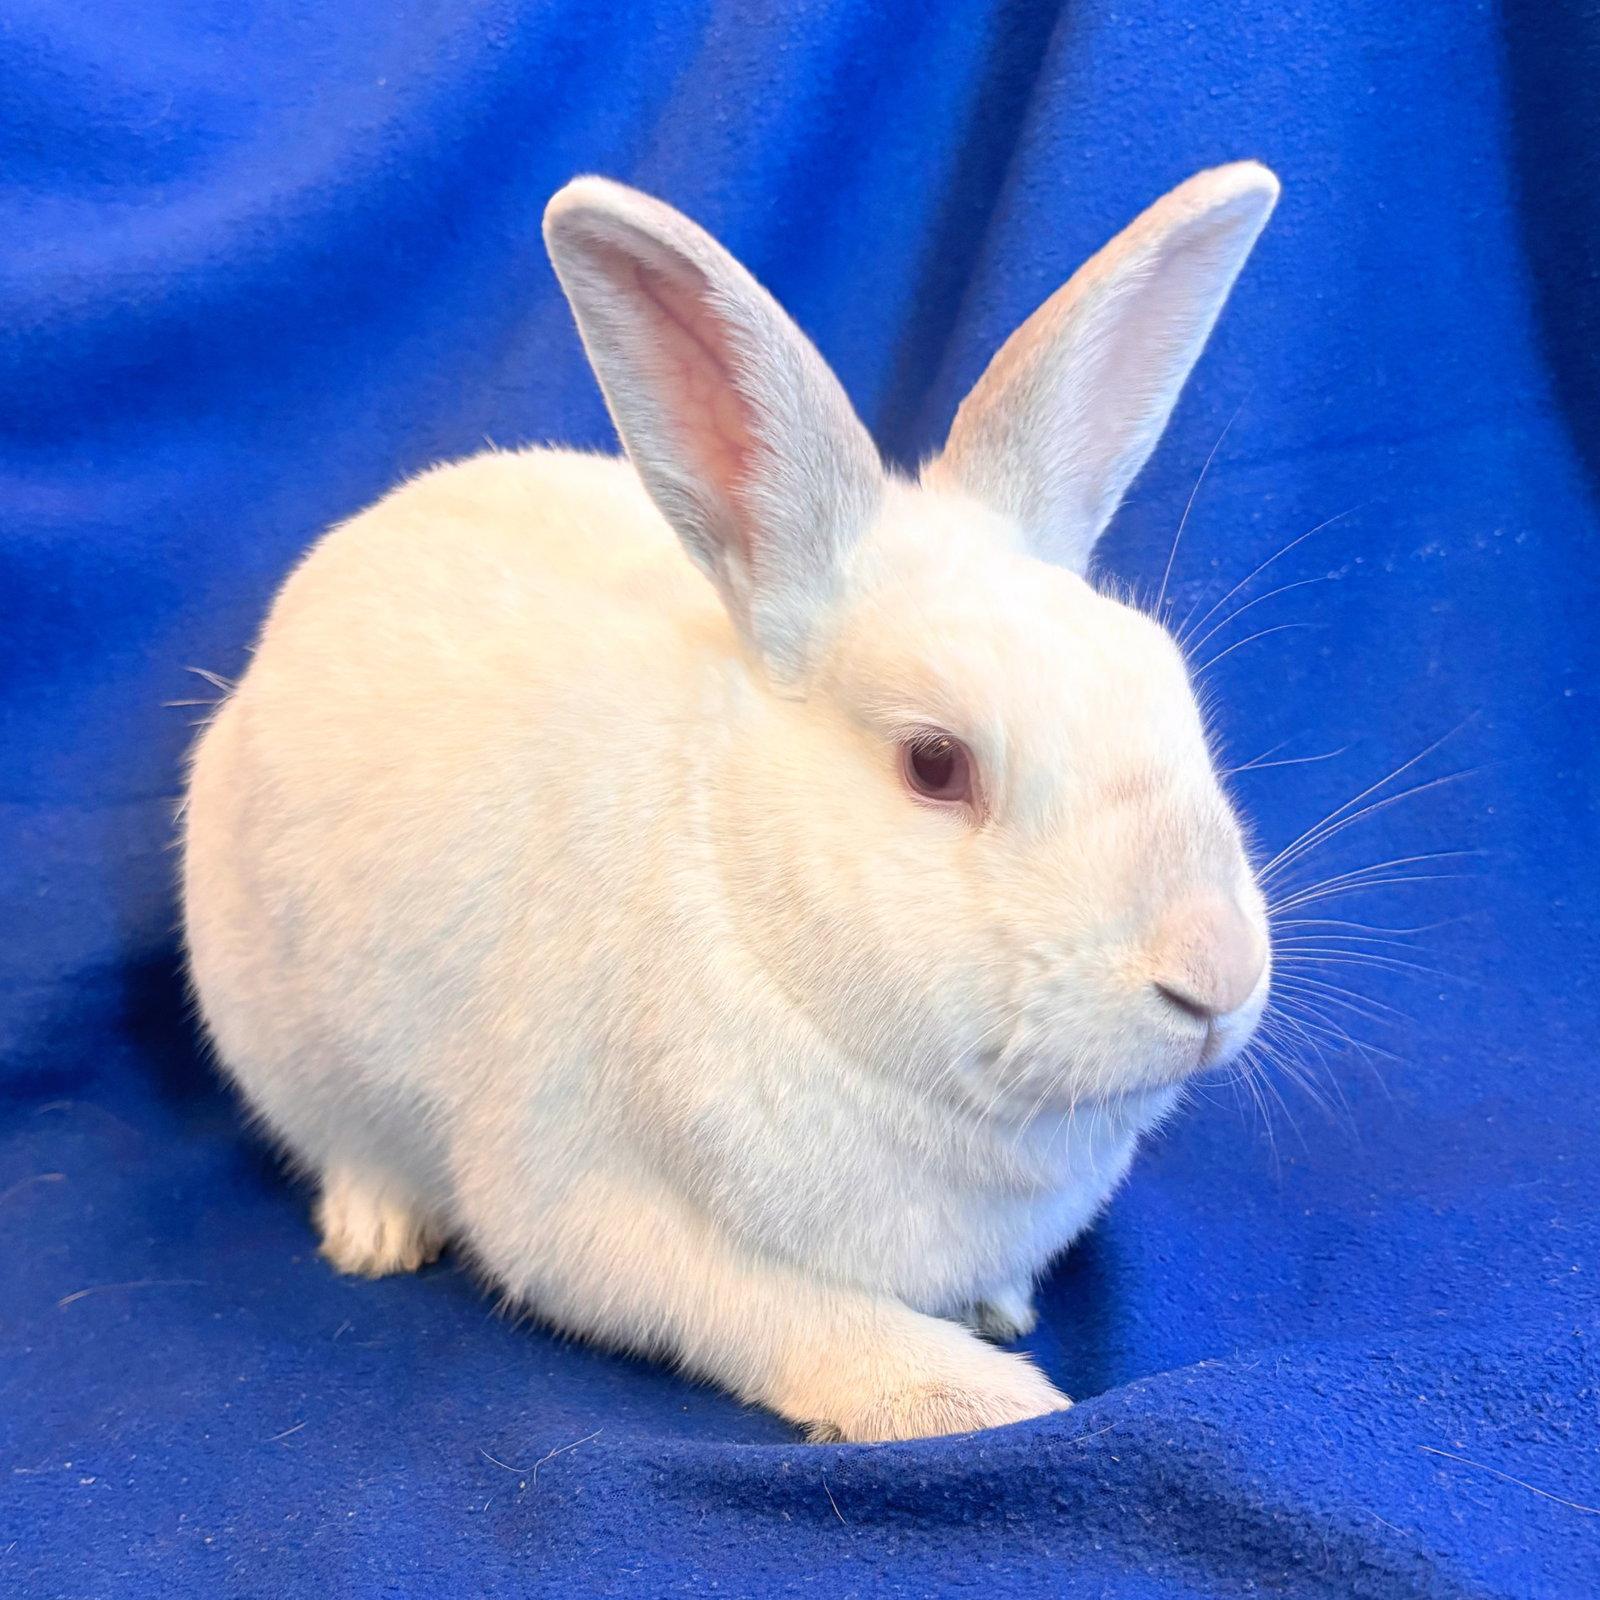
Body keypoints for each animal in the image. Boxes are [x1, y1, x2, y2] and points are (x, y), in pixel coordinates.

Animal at [182, 161, 1279, 1442]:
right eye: (934, 762)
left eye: (1165, 683)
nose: (1212, 977)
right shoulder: (593, 1214)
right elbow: (791, 1313)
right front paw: (971, 1396)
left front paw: (997, 1311)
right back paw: (376, 1233)